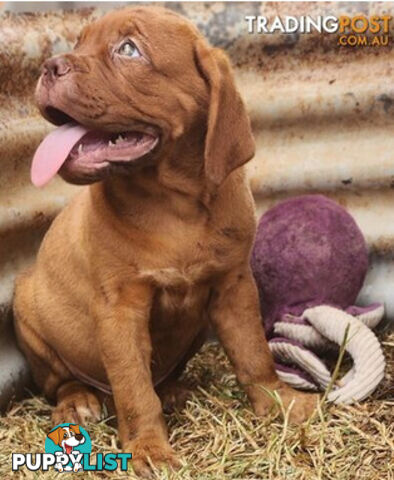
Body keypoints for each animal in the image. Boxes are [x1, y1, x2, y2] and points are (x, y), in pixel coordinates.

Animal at [13, 6, 318, 476]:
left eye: (128, 50)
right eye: (79, 41)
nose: (49, 67)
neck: (173, 206)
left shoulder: (234, 285)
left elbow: (253, 353)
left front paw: (280, 403)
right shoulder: (120, 310)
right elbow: (134, 388)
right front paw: (149, 449)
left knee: (162, 377)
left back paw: (174, 389)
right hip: (27, 308)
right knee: (60, 382)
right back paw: (77, 402)